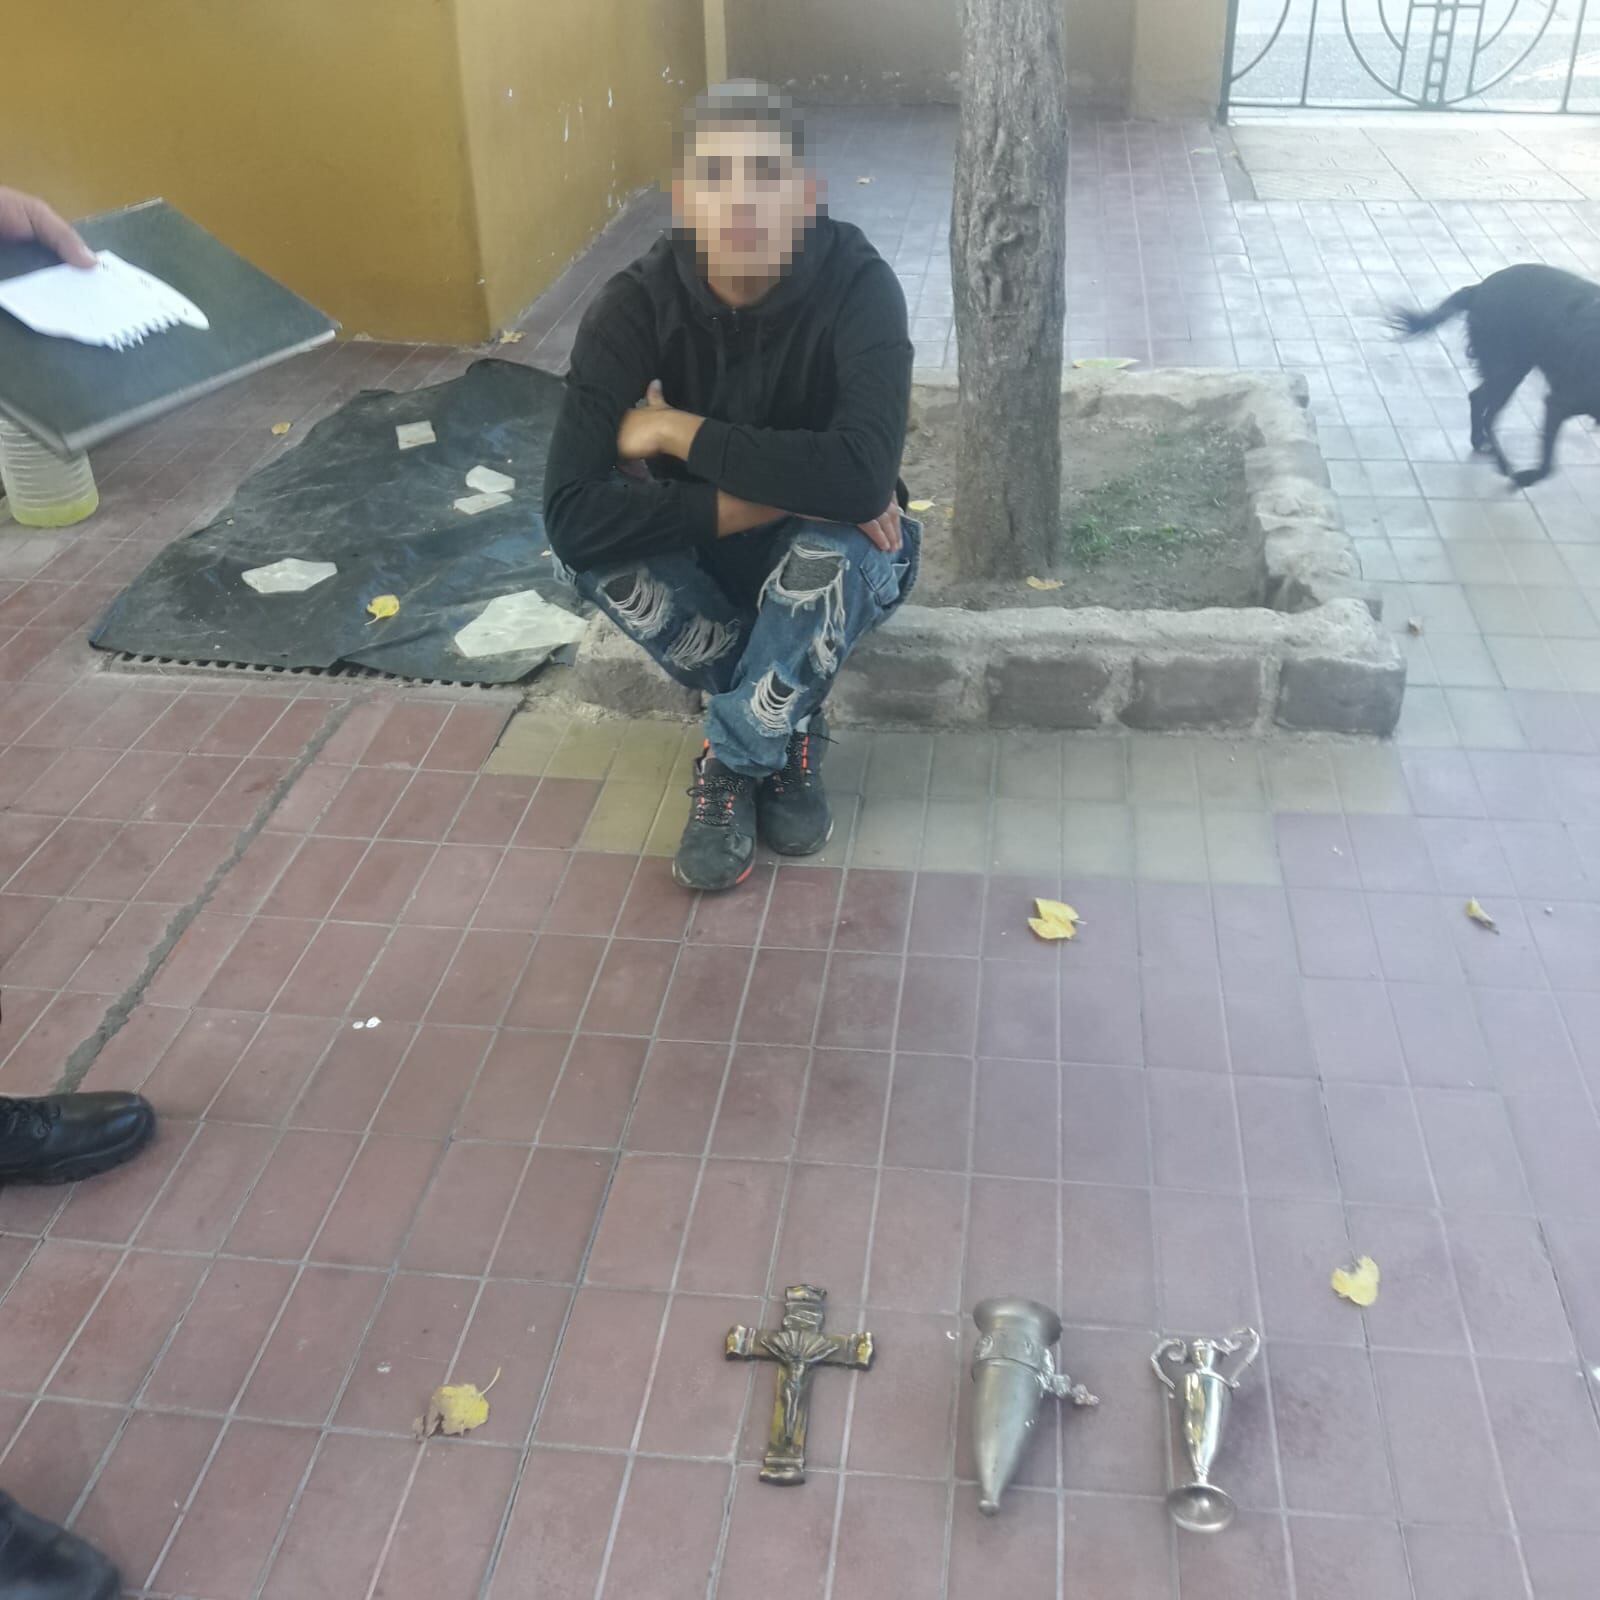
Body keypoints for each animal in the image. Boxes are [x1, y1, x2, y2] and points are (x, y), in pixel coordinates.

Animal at [1388, 262, 1600, 489]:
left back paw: (1481, 443)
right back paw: (1502, 463)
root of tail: (1479, 288)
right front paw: (1526, 477)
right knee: (1485, 409)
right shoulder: (1558, 403)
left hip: (1510, 371)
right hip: (1509, 371)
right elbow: (1548, 467)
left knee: (1481, 404)